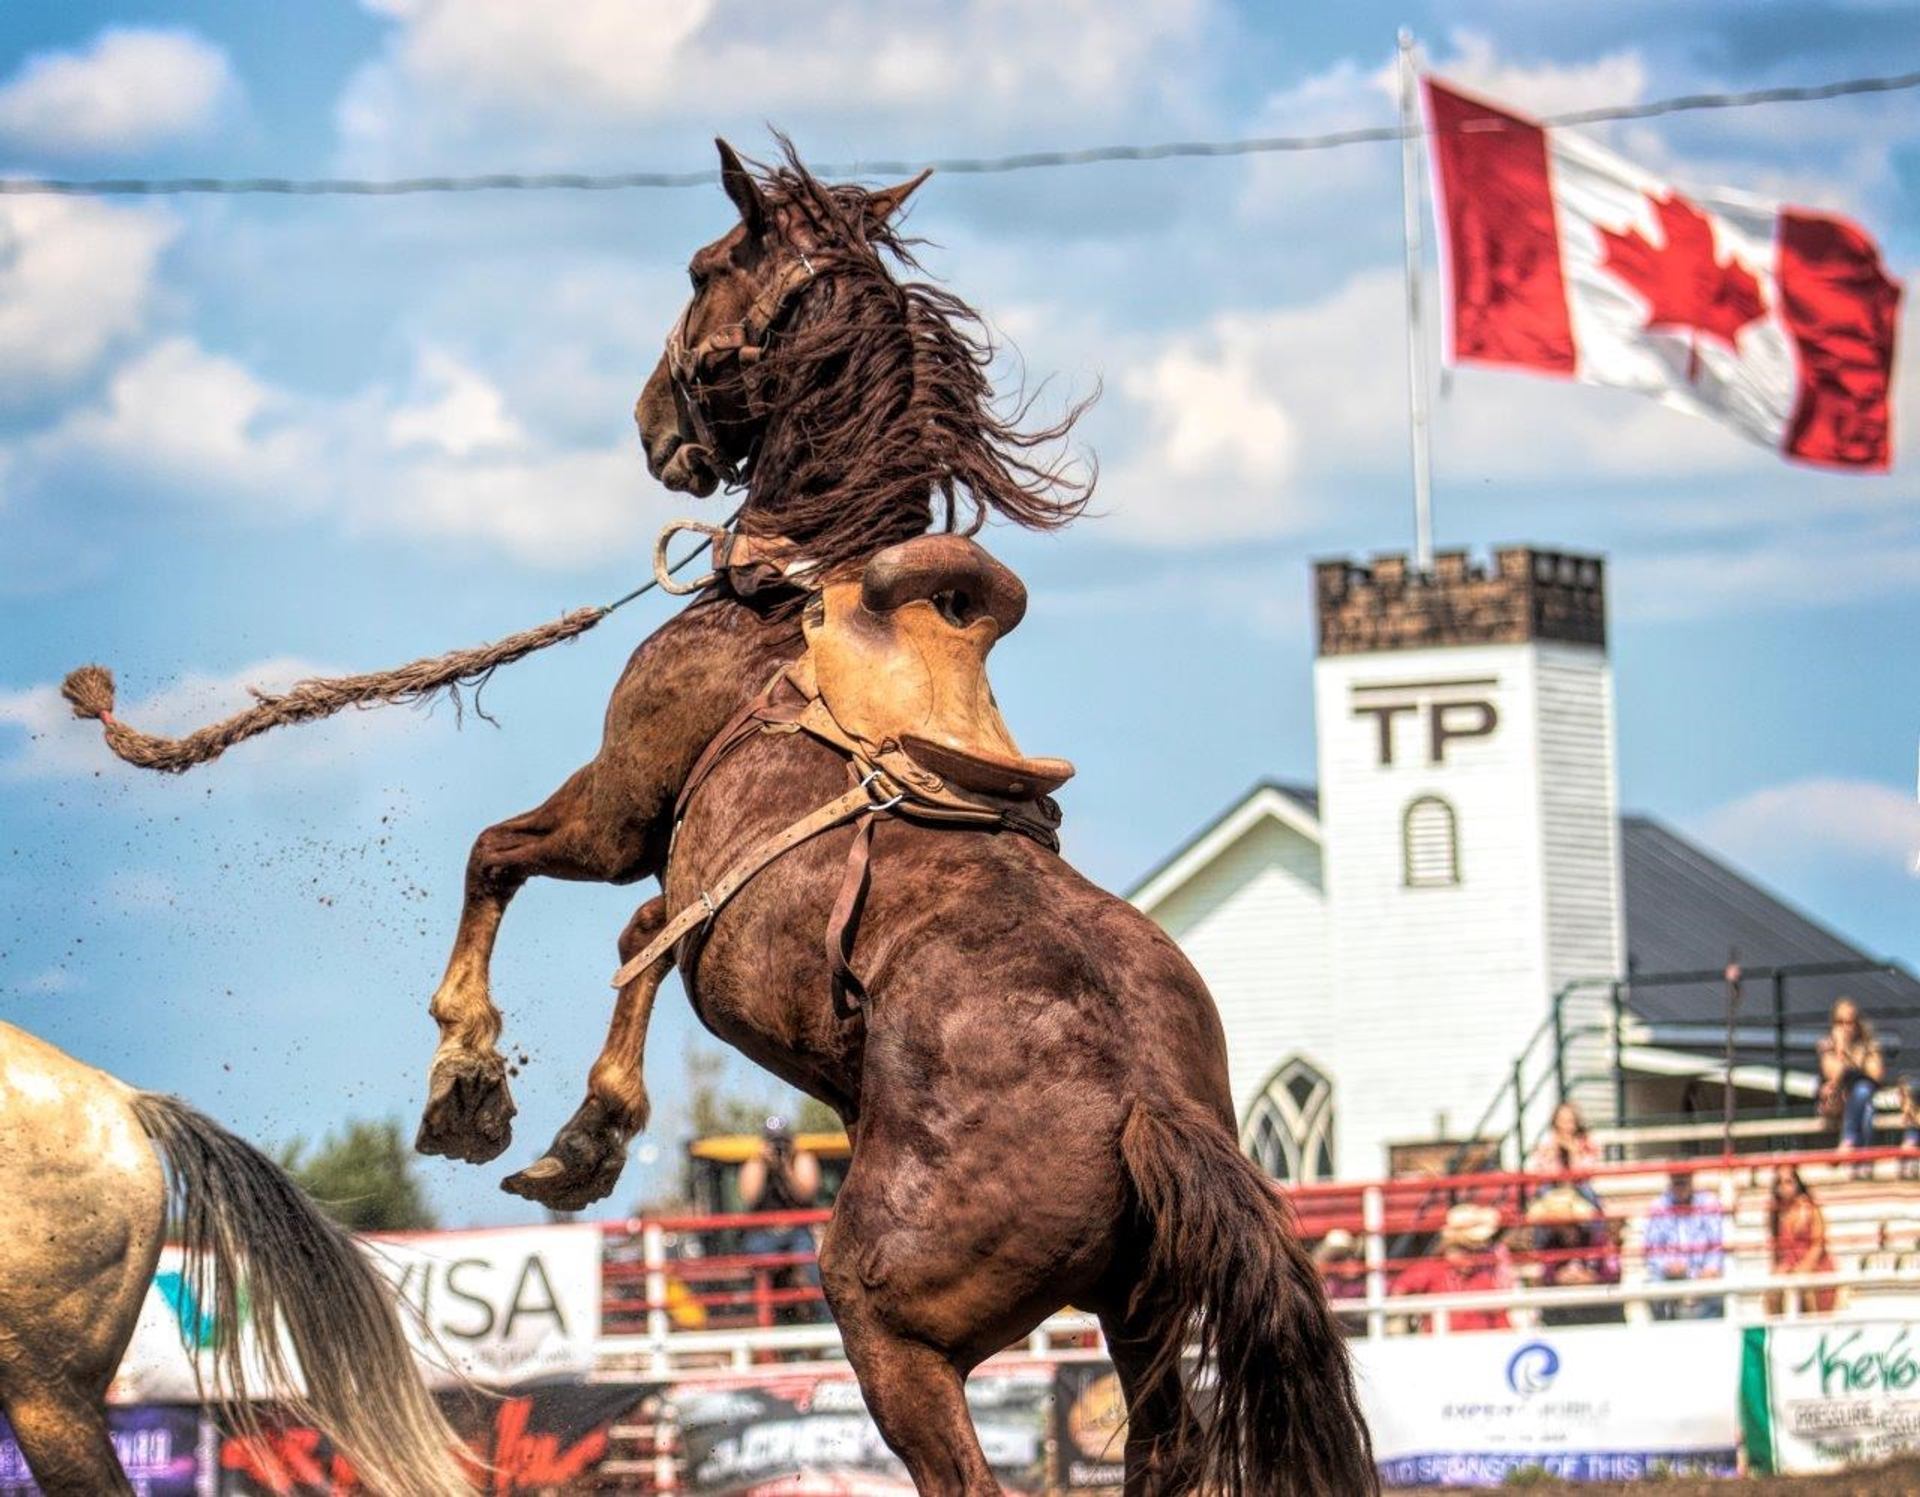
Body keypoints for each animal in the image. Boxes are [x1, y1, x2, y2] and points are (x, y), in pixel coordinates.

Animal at [406, 139, 1372, 1496]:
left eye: (703, 267)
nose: (653, 425)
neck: (797, 593)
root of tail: (1148, 1105)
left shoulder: (623, 805)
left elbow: (502, 857)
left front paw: (468, 1081)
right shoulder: (690, 885)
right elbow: (644, 940)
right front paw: (588, 1132)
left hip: (890, 1320)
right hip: (1137, 1315)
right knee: (1159, 1447)